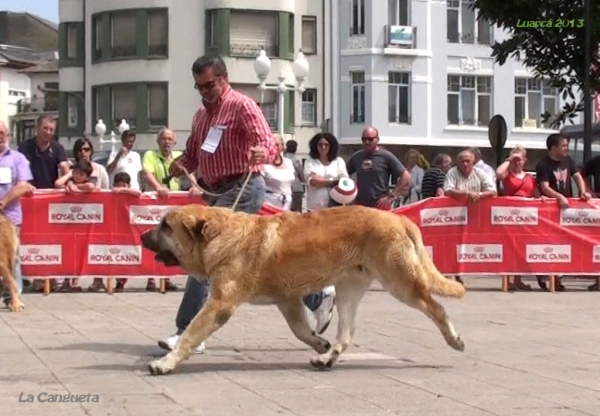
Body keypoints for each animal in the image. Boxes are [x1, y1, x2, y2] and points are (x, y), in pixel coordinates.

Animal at [139, 203, 464, 376]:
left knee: (437, 307)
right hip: (349, 288)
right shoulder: (289, 301)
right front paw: (319, 344)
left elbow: (191, 333)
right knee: (346, 332)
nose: (142, 235)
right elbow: (300, 330)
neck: (223, 235)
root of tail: (399, 218)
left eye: (165, 225)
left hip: (400, 283)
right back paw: (327, 357)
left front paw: (165, 362)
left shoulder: (219, 304)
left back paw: (455, 339)